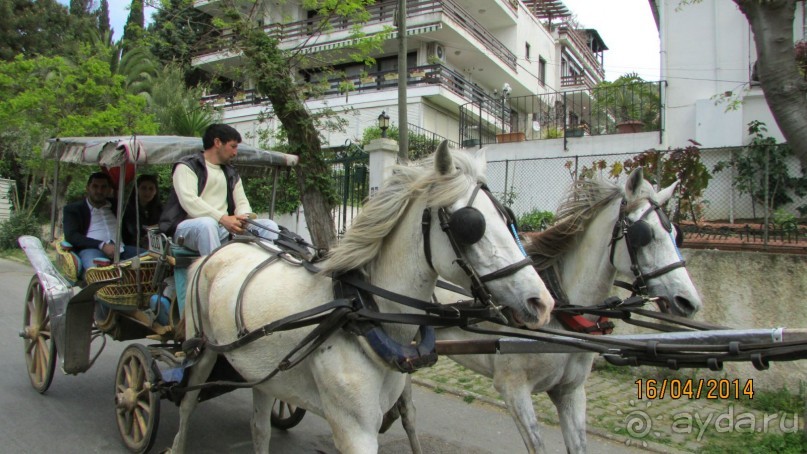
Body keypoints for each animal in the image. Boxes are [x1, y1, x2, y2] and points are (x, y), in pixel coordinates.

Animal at [169, 143, 556, 454]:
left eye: (508, 217)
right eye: (470, 225)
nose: (543, 303)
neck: (362, 312)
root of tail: (221, 248)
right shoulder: (354, 431)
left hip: (262, 371)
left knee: (259, 427)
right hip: (201, 350)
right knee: (187, 403)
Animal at [394, 168, 704, 454]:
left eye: (677, 234)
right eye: (645, 235)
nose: (690, 302)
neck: (563, 313)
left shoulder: (571, 392)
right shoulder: (514, 389)